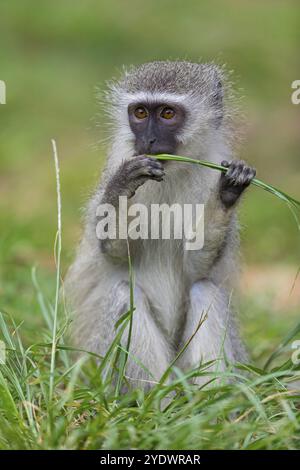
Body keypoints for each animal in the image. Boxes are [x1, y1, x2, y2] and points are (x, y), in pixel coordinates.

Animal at [65, 60, 255, 388]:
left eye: (167, 114)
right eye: (140, 113)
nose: (149, 140)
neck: (172, 173)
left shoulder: (213, 167)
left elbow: (197, 267)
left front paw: (228, 190)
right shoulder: (122, 161)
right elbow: (116, 254)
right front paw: (122, 185)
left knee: (204, 289)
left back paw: (210, 399)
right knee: (123, 295)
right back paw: (156, 398)